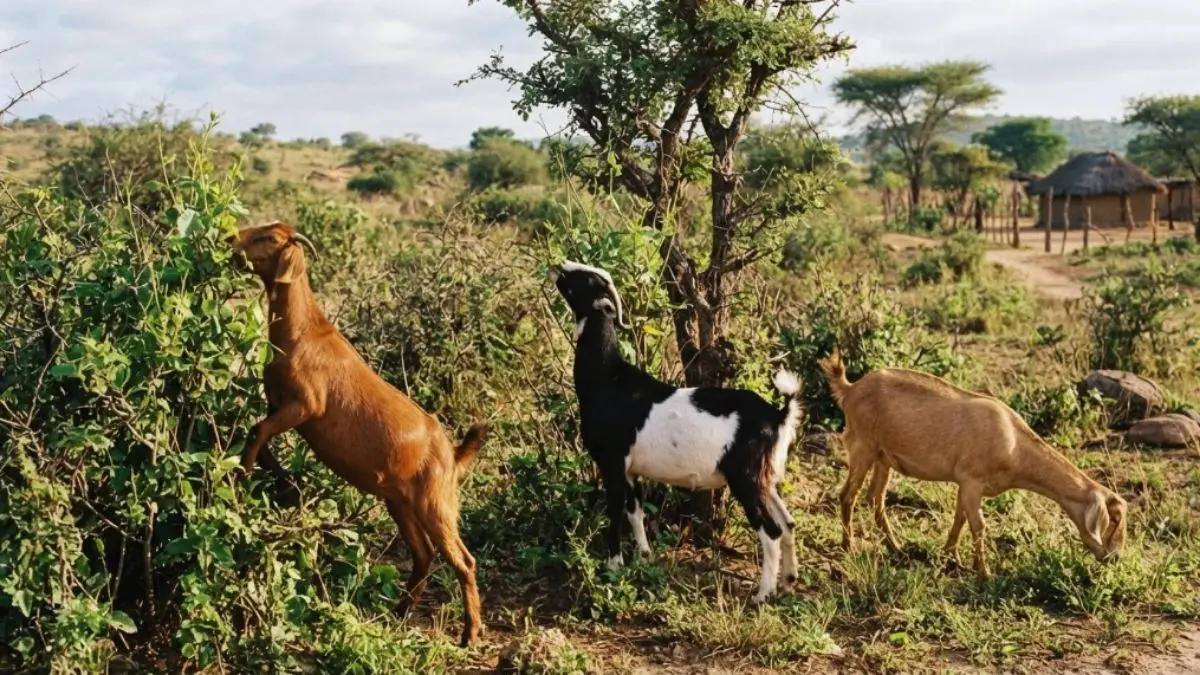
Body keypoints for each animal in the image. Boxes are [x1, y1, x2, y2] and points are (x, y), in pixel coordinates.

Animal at [229, 221, 489, 646]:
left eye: (270, 238)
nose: (230, 239)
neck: (303, 333)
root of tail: (451, 453)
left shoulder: (304, 406)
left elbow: (258, 431)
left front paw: (244, 473)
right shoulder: (277, 403)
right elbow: (260, 436)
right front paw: (284, 480)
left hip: (436, 502)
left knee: (463, 560)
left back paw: (469, 635)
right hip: (399, 502)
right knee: (423, 554)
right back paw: (398, 614)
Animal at [549, 261, 804, 603]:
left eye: (588, 280)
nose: (560, 266)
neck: (608, 378)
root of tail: (778, 416)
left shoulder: (611, 461)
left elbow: (615, 509)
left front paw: (613, 566)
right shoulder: (631, 469)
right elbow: (635, 510)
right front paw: (644, 558)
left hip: (746, 478)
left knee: (771, 529)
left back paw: (762, 594)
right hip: (767, 477)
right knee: (788, 522)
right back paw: (788, 581)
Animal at [817, 349, 1127, 578]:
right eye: (1113, 521)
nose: (1115, 557)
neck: (1014, 444)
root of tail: (850, 389)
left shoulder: (965, 486)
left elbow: (960, 519)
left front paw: (950, 557)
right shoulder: (972, 482)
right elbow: (979, 526)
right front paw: (984, 572)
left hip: (884, 457)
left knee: (875, 498)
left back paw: (897, 548)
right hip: (863, 447)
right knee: (848, 495)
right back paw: (849, 546)